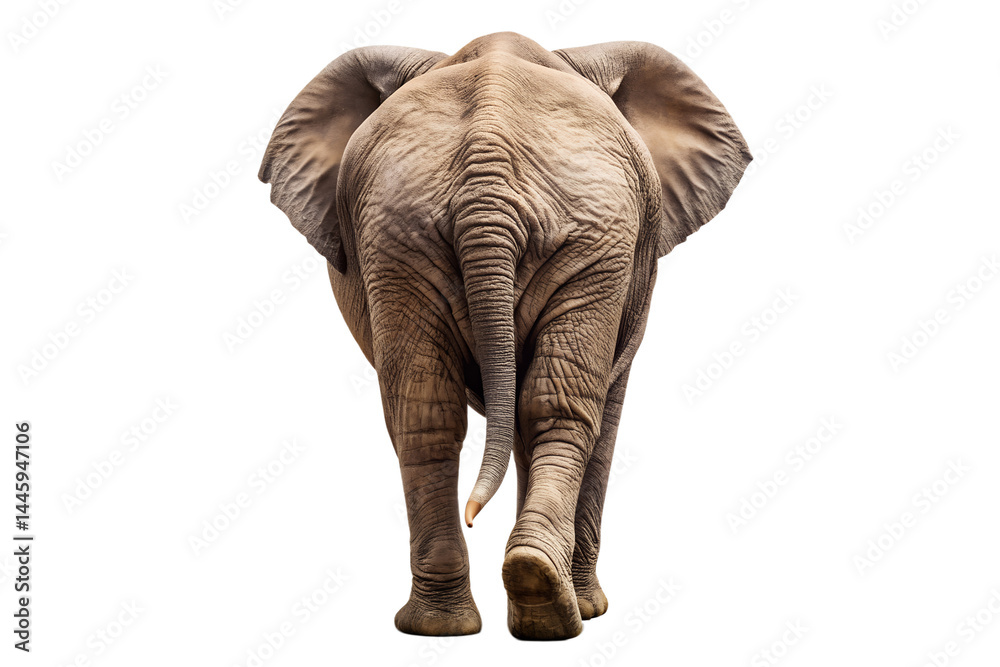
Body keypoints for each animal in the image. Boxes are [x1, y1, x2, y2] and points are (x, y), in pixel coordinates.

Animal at [259, 31, 750, 640]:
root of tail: (486, 156)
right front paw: (587, 608)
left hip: (442, 238)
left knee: (438, 414)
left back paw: (487, 609)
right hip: (434, 236)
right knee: (535, 407)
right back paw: (531, 608)